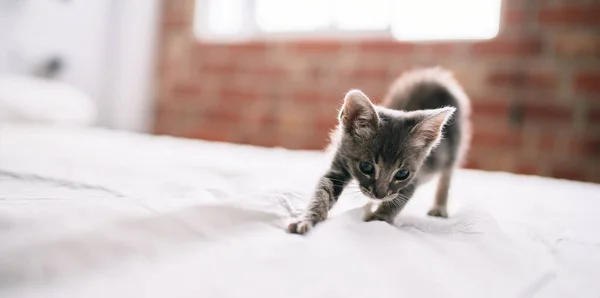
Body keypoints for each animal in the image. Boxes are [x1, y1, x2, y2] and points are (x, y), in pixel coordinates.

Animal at [288, 67, 472, 235]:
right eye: (366, 167)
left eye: (402, 174)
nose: (379, 195)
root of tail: (432, 79)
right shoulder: (338, 163)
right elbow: (322, 192)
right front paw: (307, 218)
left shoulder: (415, 177)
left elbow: (396, 201)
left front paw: (378, 219)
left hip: (453, 151)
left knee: (446, 177)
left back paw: (439, 207)